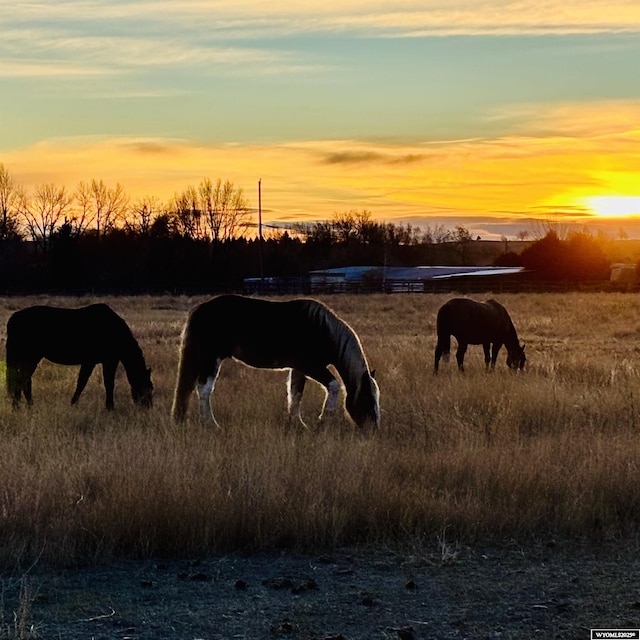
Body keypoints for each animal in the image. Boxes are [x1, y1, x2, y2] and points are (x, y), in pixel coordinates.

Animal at [5, 304, 152, 410]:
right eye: (148, 387)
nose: (148, 407)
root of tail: (13, 319)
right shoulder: (108, 361)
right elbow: (108, 383)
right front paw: (110, 407)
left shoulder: (91, 362)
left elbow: (82, 382)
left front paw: (73, 403)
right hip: (30, 358)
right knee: (22, 381)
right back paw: (17, 407)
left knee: (24, 382)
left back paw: (27, 407)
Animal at [171, 296, 380, 430]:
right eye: (367, 398)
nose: (373, 429)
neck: (322, 330)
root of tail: (199, 309)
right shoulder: (310, 366)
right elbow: (334, 385)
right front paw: (324, 419)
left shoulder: (299, 368)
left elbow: (295, 393)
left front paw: (297, 424)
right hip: (211, 359)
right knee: (204, 389)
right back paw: (211, 425)